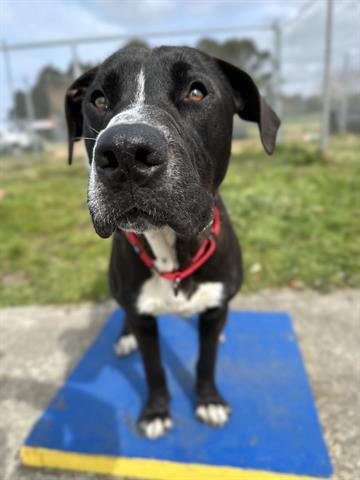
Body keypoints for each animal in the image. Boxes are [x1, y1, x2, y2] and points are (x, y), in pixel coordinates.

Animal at [65, 47, 282, 440]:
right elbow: (153, 368)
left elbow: (206, 360)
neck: (173, 248)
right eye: (98, 100)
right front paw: (155, 411)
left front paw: (208, 400)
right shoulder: (143, 318)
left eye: (197, 92)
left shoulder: (215, 309)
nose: (124, 151)